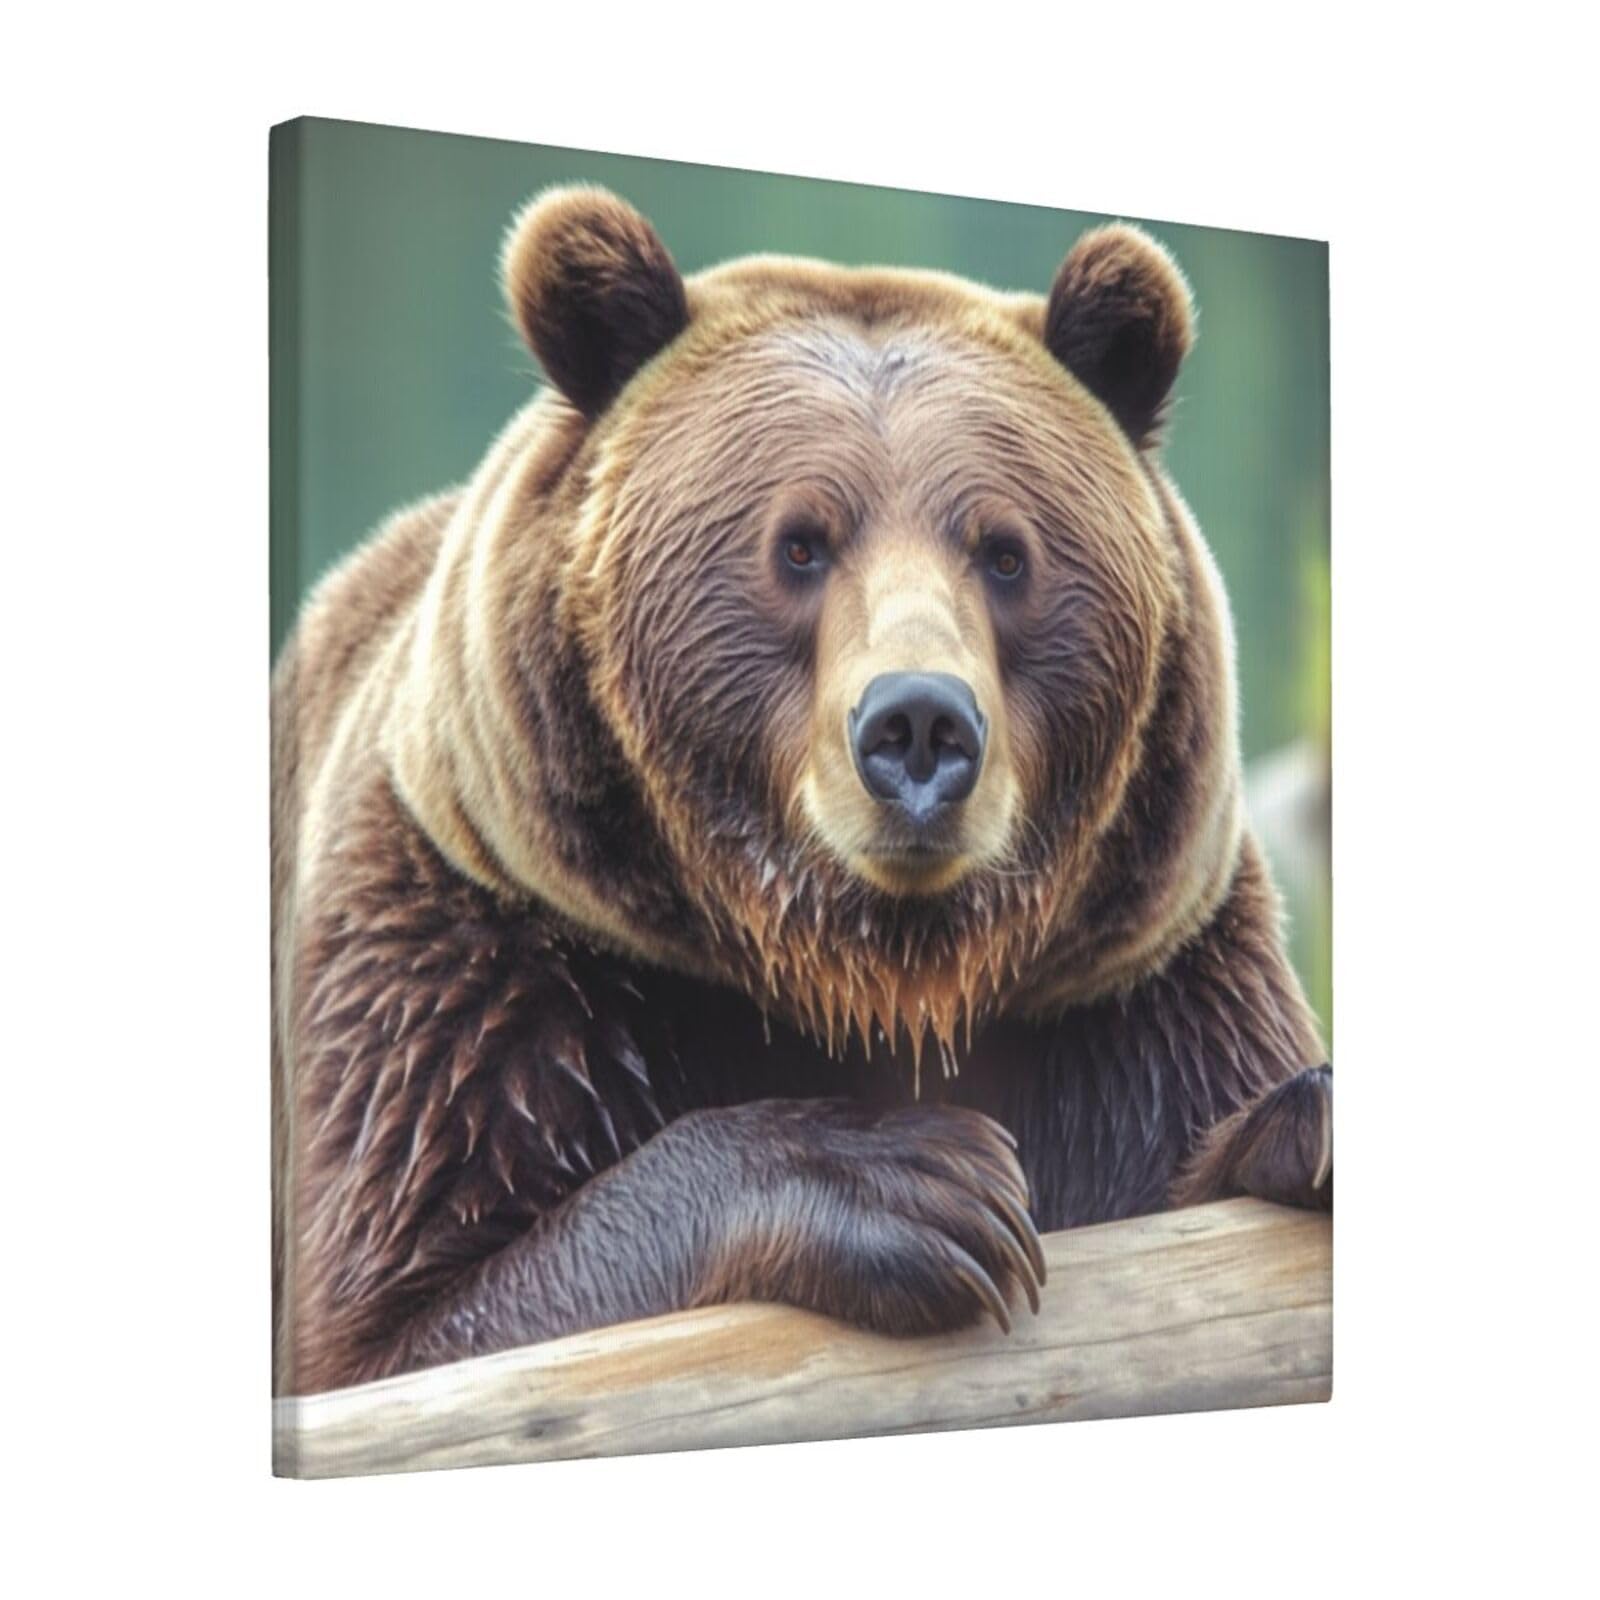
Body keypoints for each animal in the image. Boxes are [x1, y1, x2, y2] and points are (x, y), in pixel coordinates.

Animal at [272, 185, 1332, 1397]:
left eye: (1006, 552)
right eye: (799, 544)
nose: (917, 726)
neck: (872, 975)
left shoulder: (1141, 993)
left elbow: (1200, 1143)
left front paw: (1307, 1120)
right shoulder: (473, 960)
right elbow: (417, 1325)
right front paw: (923, 1180)